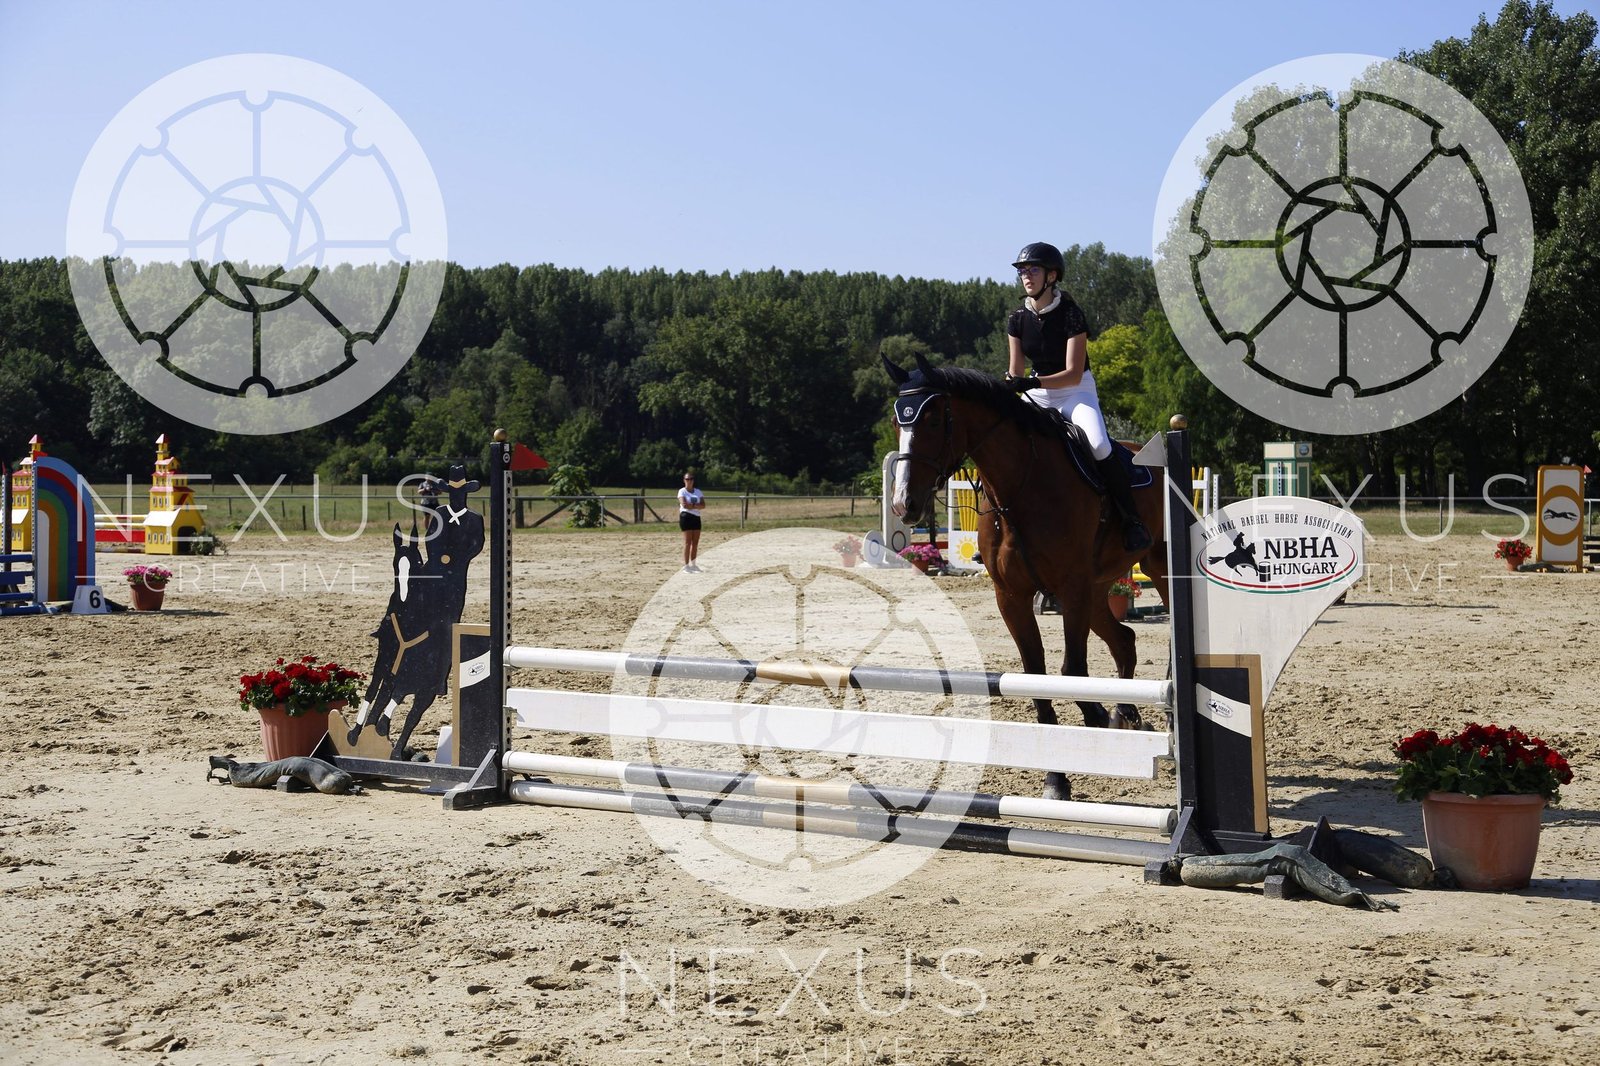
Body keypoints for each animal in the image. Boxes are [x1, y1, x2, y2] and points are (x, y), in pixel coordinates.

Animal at [884, 354, 1169, 801]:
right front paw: (1056, 777)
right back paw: (1125, 713)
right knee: (1124, 640)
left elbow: (1072, 672)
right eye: (898, 423)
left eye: (931, 420)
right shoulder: (1013, 596)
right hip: (1098, 588)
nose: (904, 505)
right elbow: (1037, 676)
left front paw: (1091, 719)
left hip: (1155, 567)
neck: (1019, 487)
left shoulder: (1070, 588)